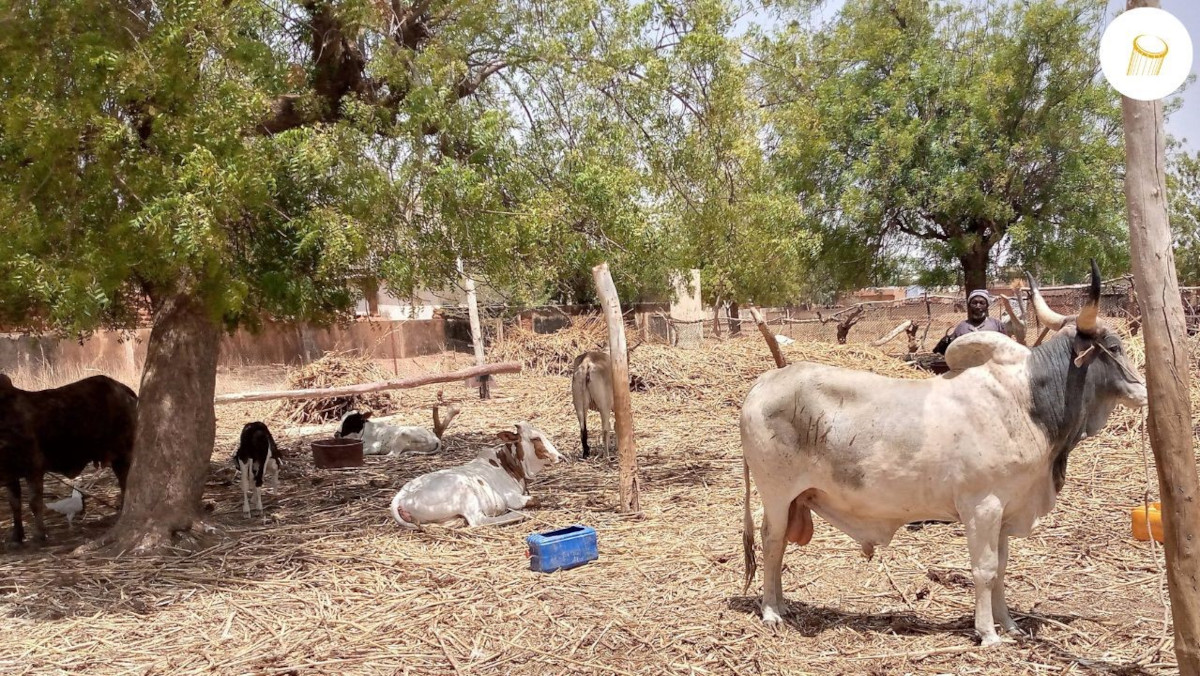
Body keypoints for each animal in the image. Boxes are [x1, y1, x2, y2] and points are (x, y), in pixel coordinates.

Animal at [0, 374, 136, 545]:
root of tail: (124, 390)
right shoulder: (10, 474)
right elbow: (15, 505)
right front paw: (16, 537)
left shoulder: (34, 468)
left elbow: (34, 503)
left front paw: (39, 535)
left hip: (123, 454)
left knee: (126, 482)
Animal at [391, 422, 564, 528]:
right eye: (535, 438)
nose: (560, 457)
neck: (508, 465)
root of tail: (400, 496)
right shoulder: (512, 498)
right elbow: (537, 500)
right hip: (465, 492)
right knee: (478, 520)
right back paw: (518, 515)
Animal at [739, 261, 1142, 648]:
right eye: (1115, 347)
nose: (1141, 390)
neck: (1028, 402)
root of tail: (762, 384)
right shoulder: (982, 507)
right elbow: (984, 570)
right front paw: (988, 632)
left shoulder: (1005, 511)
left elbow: (1001, 569)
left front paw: (1010, 625)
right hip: (777, 493)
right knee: (772, 541)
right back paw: (771, 610)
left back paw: (782, 604)